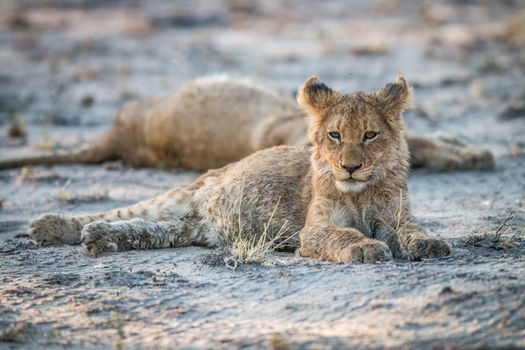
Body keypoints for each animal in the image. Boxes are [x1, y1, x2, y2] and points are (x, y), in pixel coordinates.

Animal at [28, 77, 450, 262]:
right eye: (334, 135)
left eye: (369, 135)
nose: (349, 167)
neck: (361, 193)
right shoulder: (312, 231)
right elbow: (341, 235)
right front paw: (366, 247)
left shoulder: (396, 215)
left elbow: (412, 230)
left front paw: (429, 244)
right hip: (180, 194)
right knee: (118, 212)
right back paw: (49, 226)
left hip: (185, 230)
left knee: (146, 230)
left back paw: (98, 238)